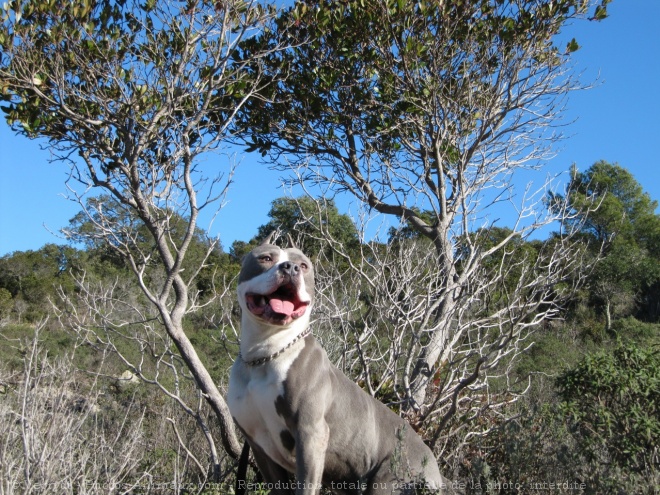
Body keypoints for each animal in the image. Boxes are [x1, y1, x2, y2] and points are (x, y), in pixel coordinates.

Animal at [227, 238, 454, 494]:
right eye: (266, 258)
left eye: (303, 265)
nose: (290, 268)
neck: (264, 355)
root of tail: (434, 468)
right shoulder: (259, 446)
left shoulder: (311, 433)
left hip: (389, 480)